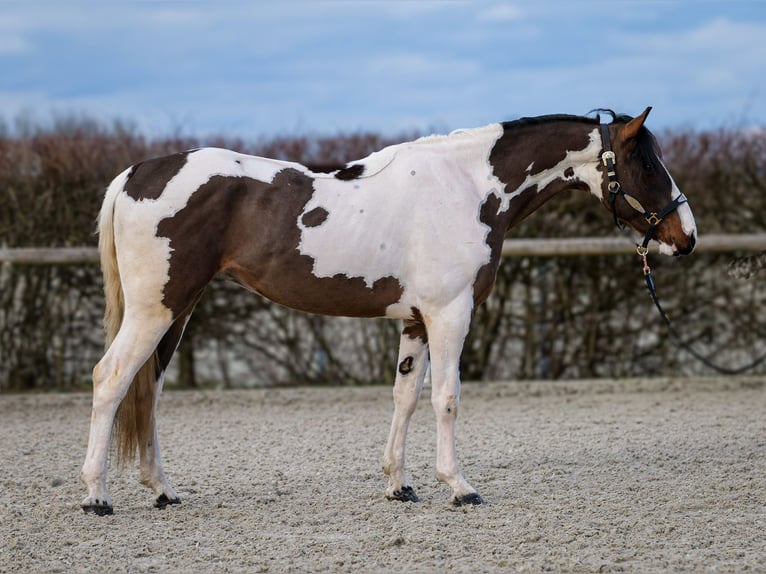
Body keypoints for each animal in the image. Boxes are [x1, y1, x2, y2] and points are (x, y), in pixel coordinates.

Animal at [81, 108, 700, 516]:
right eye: (646, 163)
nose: (686, 236)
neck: (468, 187)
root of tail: (135, 174)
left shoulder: (415, 320)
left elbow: (405, 396)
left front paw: (399, 485)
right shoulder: (451, 315)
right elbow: (446, 398)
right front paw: (459, 487)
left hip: (176, 311)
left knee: (148, 390)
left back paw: (162, 491)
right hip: (156, 309)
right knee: (111, 378)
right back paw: (96, 496)